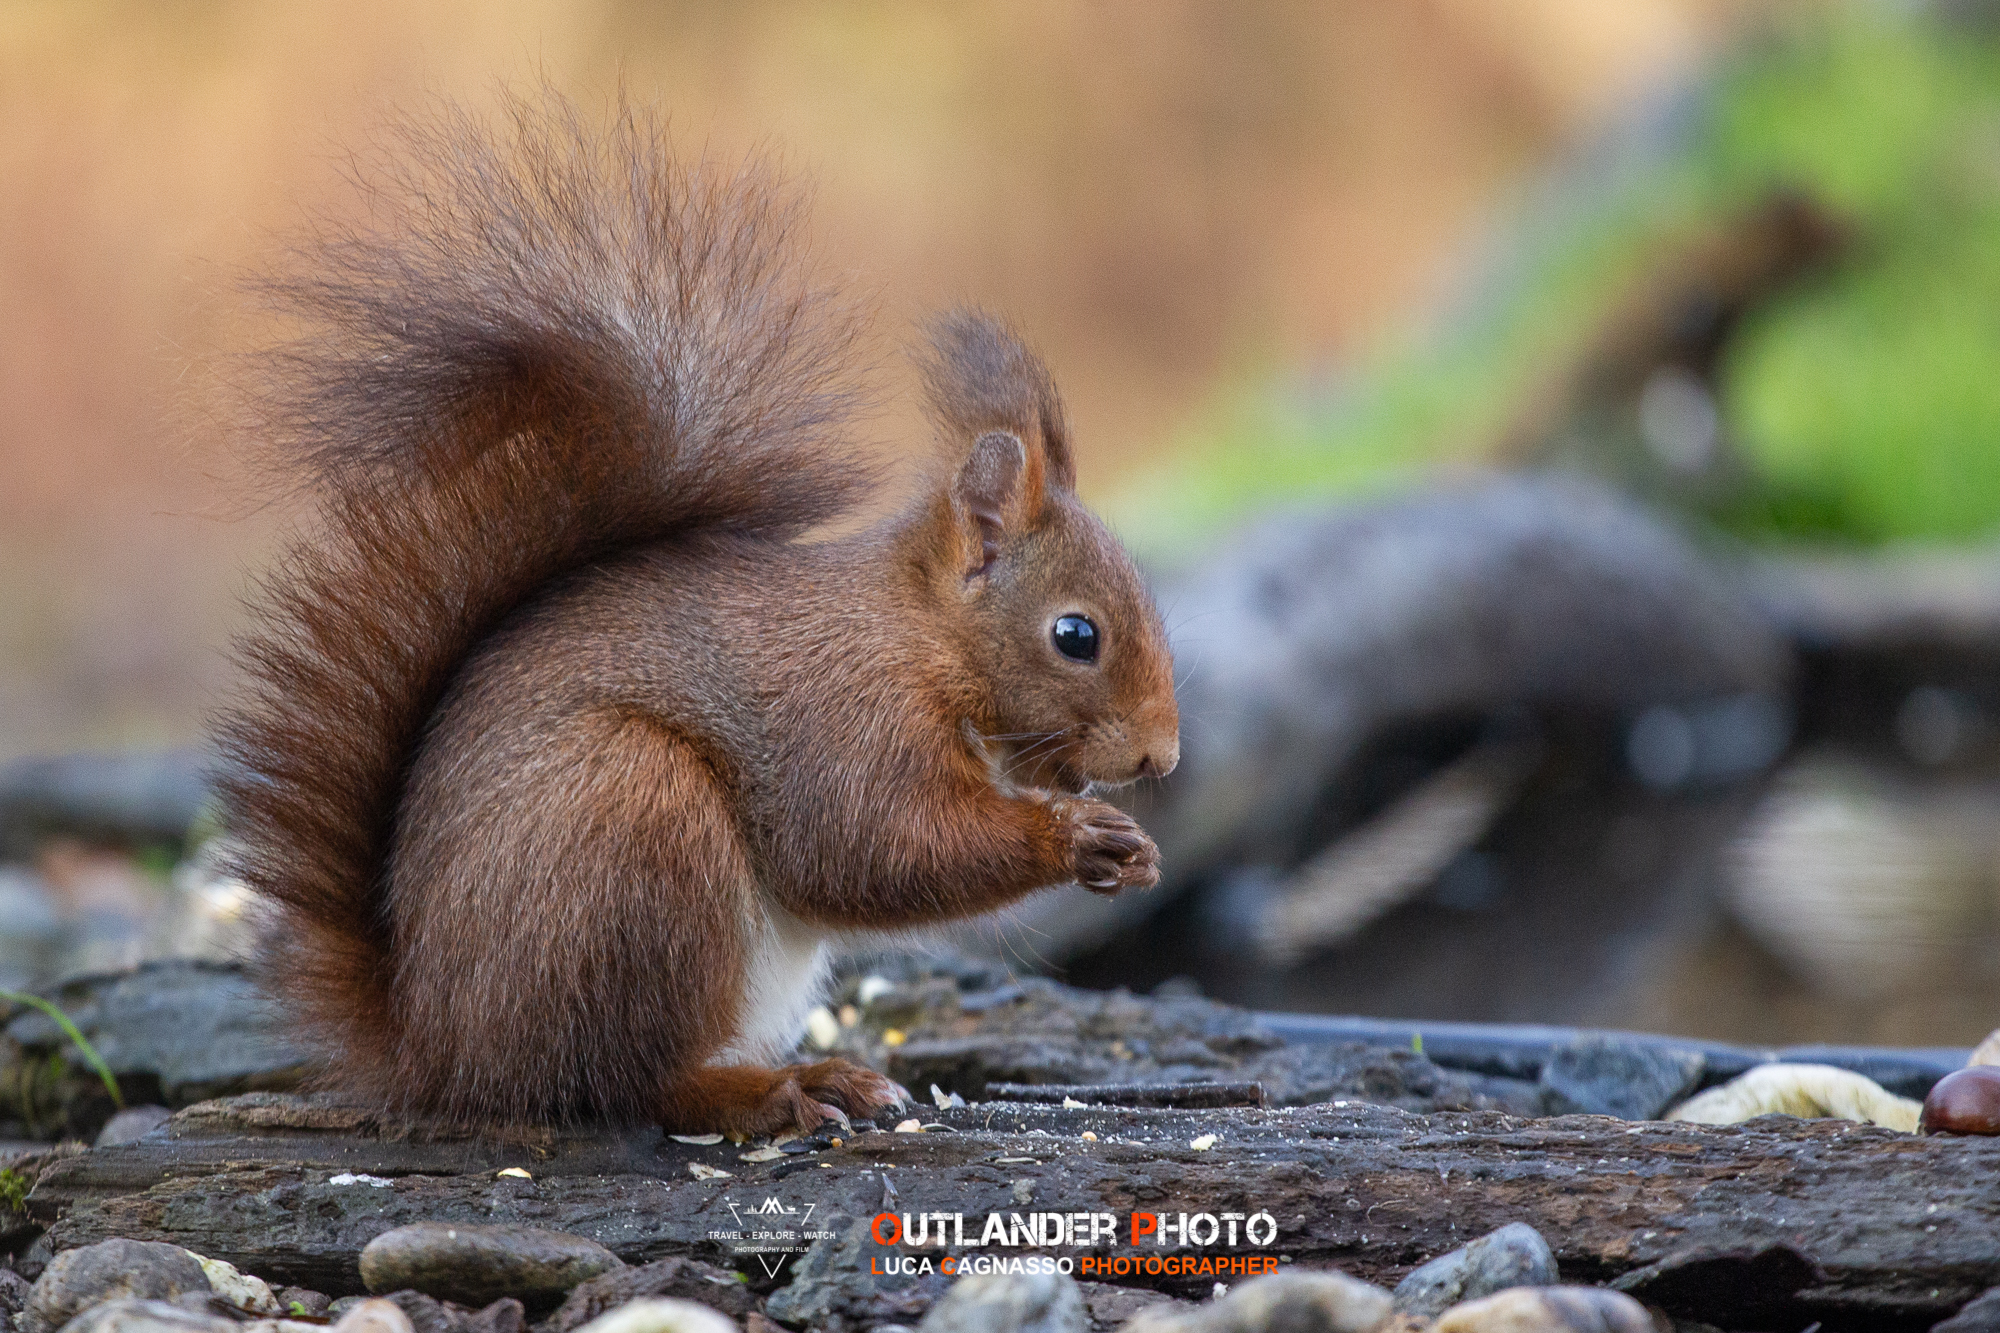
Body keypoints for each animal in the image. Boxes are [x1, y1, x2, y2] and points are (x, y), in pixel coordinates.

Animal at [212, 97, 1180, 1137]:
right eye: (1076, 635)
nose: (1160, 757)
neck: (921, 640)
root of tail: (437, 1048)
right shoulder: (846, 720)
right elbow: (876, 847)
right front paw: (1075, 836)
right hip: (636, 829)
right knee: (627, 1076)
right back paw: (777, 1089)